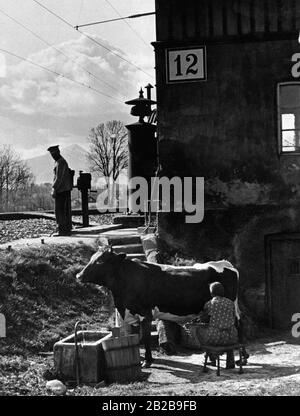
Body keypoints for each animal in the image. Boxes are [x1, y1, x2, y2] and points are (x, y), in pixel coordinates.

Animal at [76, 247, 240, 368]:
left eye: (100, 261)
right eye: (92, 258)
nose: (78, 275)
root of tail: (225, 263)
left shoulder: (145, 314)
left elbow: (145, 338)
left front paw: (147, 361)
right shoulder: (129, 314)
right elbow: (133, 338)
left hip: (231, 307)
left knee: (236, 330)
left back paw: (233, 362)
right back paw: (213, 360)